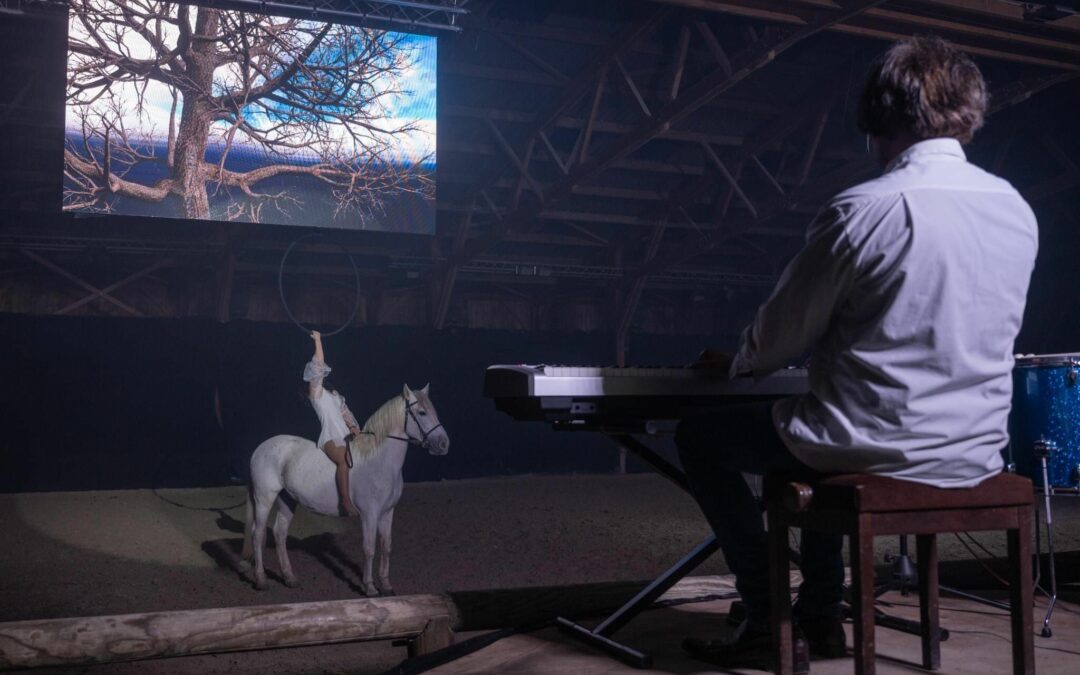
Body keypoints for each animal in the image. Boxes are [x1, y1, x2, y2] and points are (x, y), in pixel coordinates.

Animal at [243, 384, 449, 596]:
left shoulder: (387, 512)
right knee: (258, 534)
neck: (380, 461)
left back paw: (289, 578)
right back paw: (261, 580)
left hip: (287, 499)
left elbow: (386, 546)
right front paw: (369, 587)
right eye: (422, 413)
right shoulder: (370, 514)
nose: (443, 444)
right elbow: (369, 549)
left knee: (279, 533)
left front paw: (386, 585)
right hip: (264, 499)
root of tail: (260, 449)